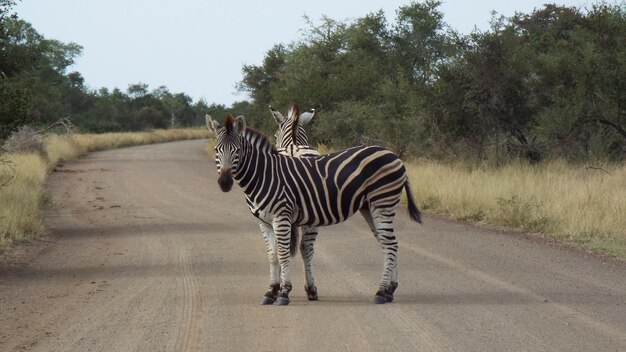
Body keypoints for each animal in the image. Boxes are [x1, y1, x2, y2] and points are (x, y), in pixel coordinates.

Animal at [207, 113, 422, 306]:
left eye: (237, 150)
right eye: (217, 150)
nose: (224, 183)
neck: (264, 175)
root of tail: (393, 155)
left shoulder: (281, 217)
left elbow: (284, 254)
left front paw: (284, 293)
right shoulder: (264, 222)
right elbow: (273, 256)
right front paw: (271, 291)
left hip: (382, 202)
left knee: (390, 244)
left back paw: (381, 292)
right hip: (369, 207)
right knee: (389, 243)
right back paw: (389, 291)